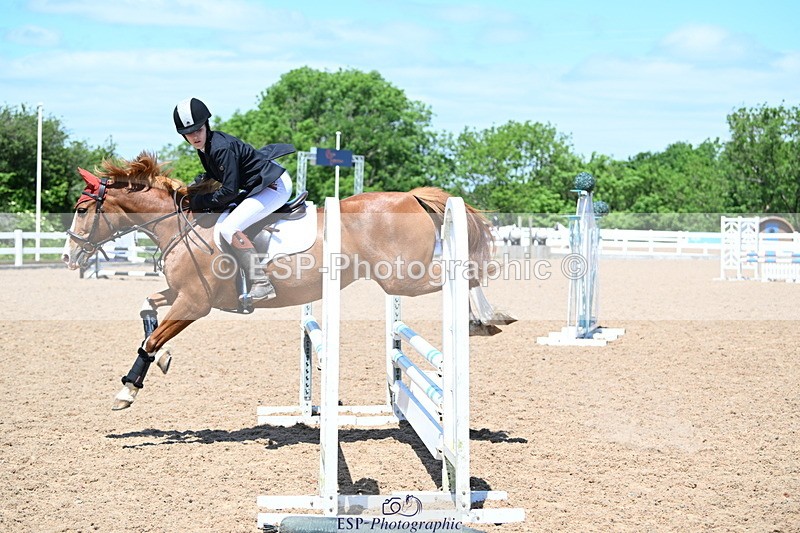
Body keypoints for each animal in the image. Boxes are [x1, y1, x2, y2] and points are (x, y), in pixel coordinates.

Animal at [62, 152, 515, 410]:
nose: (68, 257)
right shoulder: (178, 294)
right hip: (400, 279)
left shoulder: (195, 303)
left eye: (82, 210)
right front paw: (163, 360)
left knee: (465, 271)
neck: (181, 225)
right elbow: (147, 310)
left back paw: (488, 319)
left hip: (403, 277)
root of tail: (411, 196)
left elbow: (151, 339)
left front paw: (128, 389)